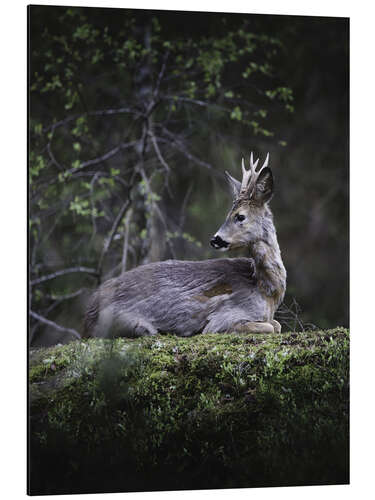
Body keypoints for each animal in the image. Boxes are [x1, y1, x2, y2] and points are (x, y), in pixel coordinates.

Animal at [83, 153, 286, 340]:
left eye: (240, 216)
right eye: (228, 214)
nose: (215, 239)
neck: (266, 290)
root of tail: (88, 314)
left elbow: (277, 324)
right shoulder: (223, 318)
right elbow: (271, 327)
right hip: (126, 323)